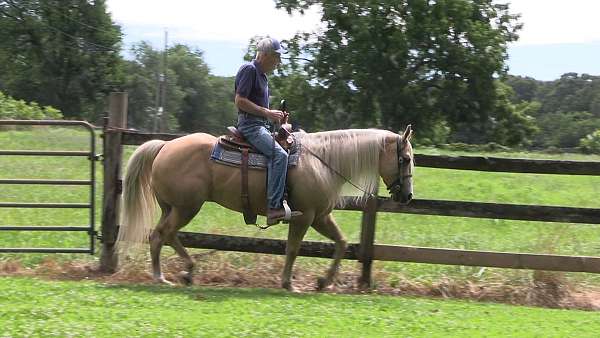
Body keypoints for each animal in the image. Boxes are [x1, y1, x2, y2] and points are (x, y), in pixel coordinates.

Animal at [119, 126, 414, 290]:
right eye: (406, 158)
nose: (408, 196)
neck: (322, 161)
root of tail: (165, 146)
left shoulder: (321, 216)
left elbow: (341, 243)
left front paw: (323, 281)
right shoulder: (304, 217)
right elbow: (293, 249)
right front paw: (288, 283)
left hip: (171, 208)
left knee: (160, 236)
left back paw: (175, 274)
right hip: (186, 208)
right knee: (164, 235)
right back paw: (172, 274)